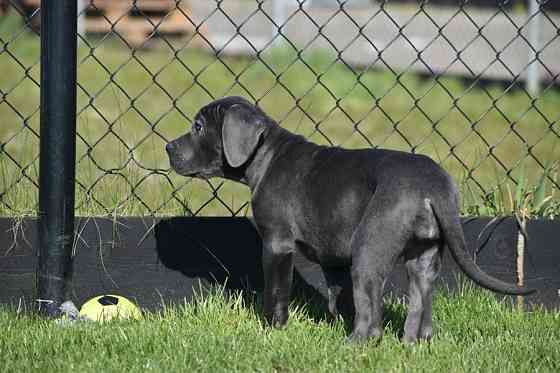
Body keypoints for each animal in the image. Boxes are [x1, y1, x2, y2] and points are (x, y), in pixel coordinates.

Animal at [165, 96, 532, 342]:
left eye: (198, 127)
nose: (168, 147)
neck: (265, 155)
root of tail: (434, 185)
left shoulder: (277, 245)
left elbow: (277, 292)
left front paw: (272, 329)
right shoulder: (333, 259)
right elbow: (337, 297)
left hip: (369, 250)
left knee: (372, 315)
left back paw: (355, 343)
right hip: (424, 256)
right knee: (419, 302)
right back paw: (411, 343)